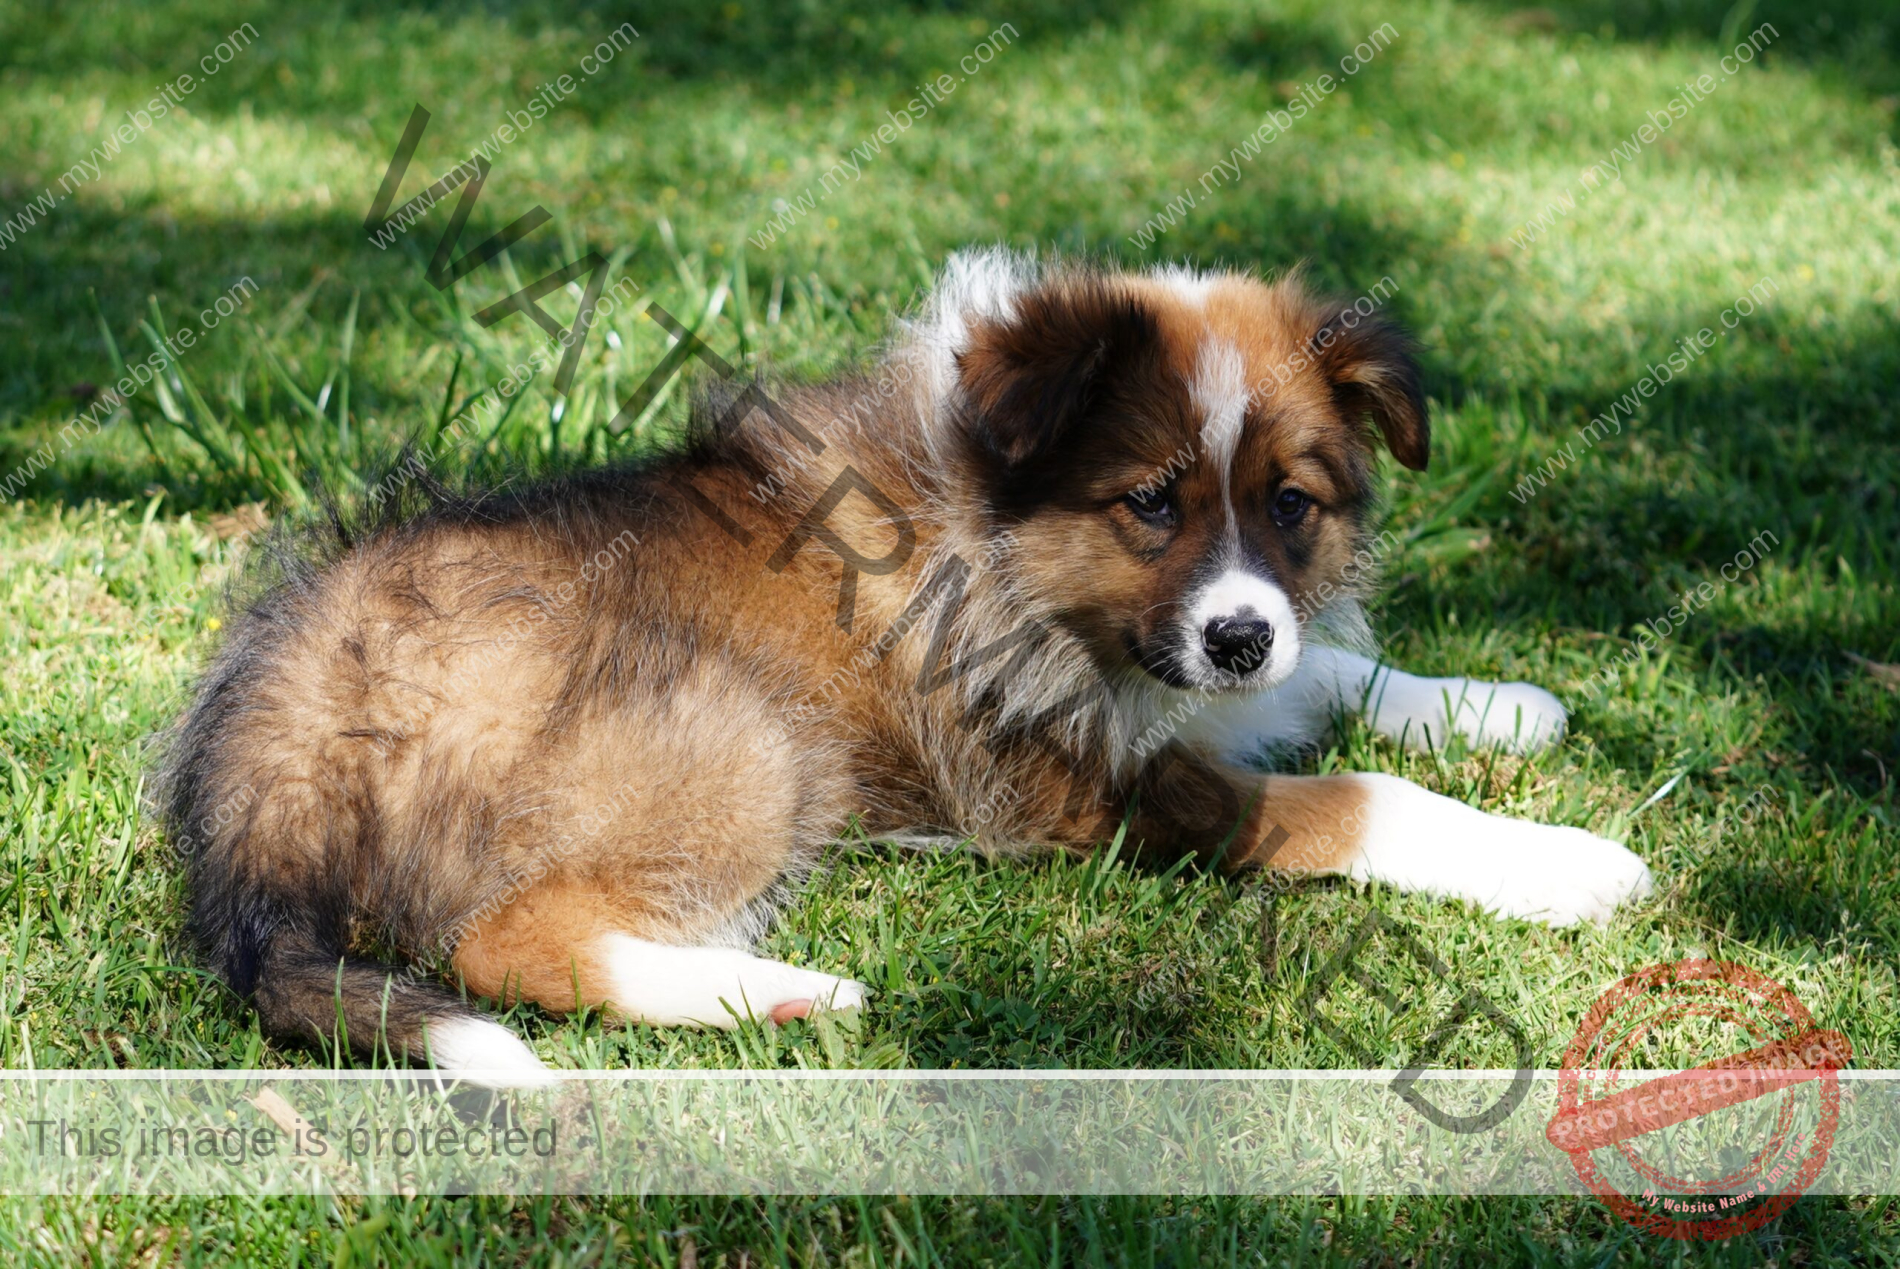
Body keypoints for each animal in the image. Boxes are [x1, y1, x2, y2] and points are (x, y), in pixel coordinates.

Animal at [159, 252, 1649, 1086]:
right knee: (504, 940)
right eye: (1149, 503)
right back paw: (782, 990)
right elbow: (1352, 798)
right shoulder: (1079, 793)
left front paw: (1495, 704)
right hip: (744, 732)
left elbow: (1324, 669)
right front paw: (1567, 863)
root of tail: (273, 734)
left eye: (1292, 503)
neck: (999, 524)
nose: (1236, 634)